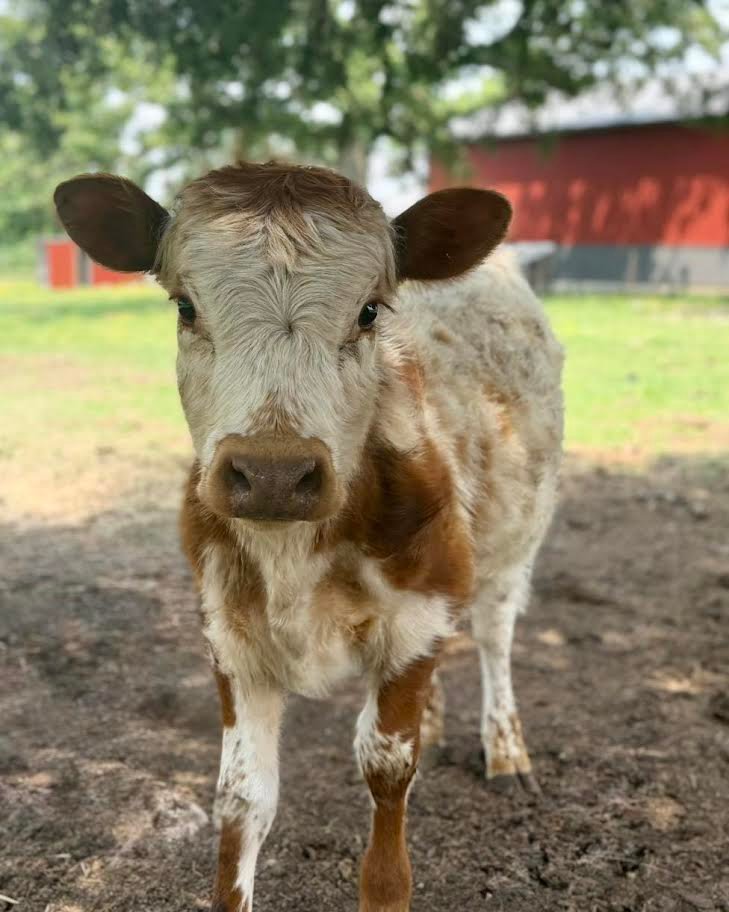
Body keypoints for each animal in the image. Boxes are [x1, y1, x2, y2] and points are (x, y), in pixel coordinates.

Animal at [54, 161, 564, 912]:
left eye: (370, 311)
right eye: (185, 306)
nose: (273, 474)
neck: (293, 559)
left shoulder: (418, 617)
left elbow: (387, 766)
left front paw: (386, 886)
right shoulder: (230, 636)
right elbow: (242, 798)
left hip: (511, 546)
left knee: (494, 639)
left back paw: (505, 750)